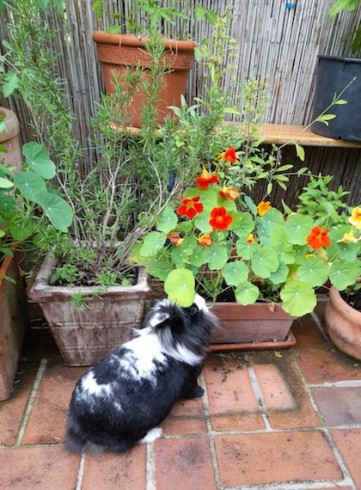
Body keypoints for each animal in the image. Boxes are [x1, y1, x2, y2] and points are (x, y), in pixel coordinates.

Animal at [63, 292, 217, 454]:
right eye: (193, 310)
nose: (202, 298)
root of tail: (82, 421)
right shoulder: (190, 379)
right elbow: (192, 388)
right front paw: (200, 393)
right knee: (128, 443)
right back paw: (155, 433)